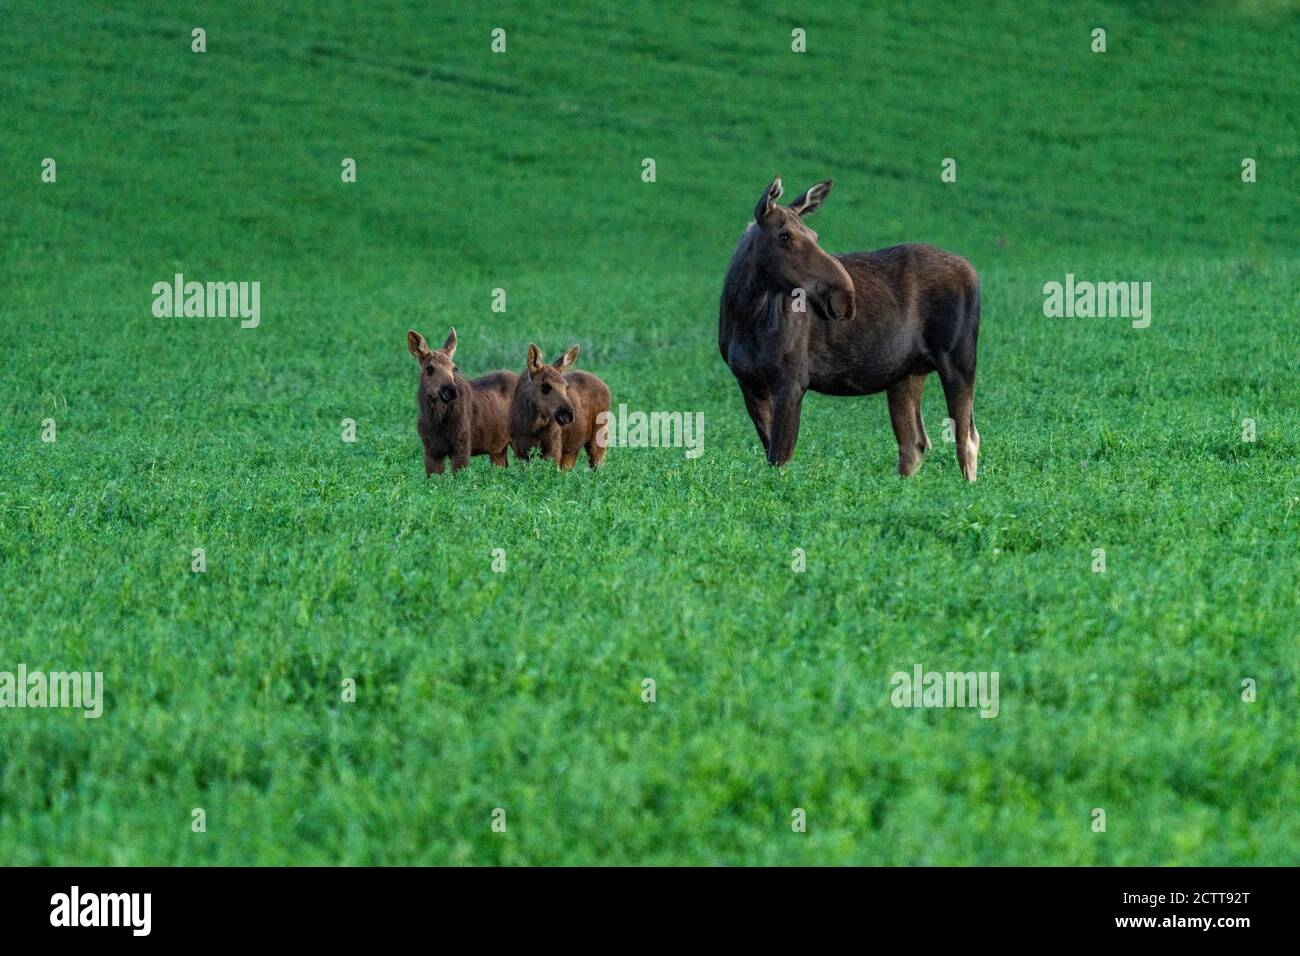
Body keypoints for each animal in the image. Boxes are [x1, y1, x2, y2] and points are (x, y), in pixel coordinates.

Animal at [410, 330, 522, 476]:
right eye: (429, 368)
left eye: (454, 368)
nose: (451, 390)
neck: (435, 419)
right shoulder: (431, 450)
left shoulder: (462, 447)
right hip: (498, 448)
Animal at [717, 174, 977, 478]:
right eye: (784, 236)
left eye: (815, 236)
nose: (845, 295)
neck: (745, 314)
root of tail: (972, 270)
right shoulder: (748, 382)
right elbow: (771, 453)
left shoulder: (792, 381)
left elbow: (780, 458)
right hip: (905, 374)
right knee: (914, 443)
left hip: (958, 360)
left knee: (966, 439)